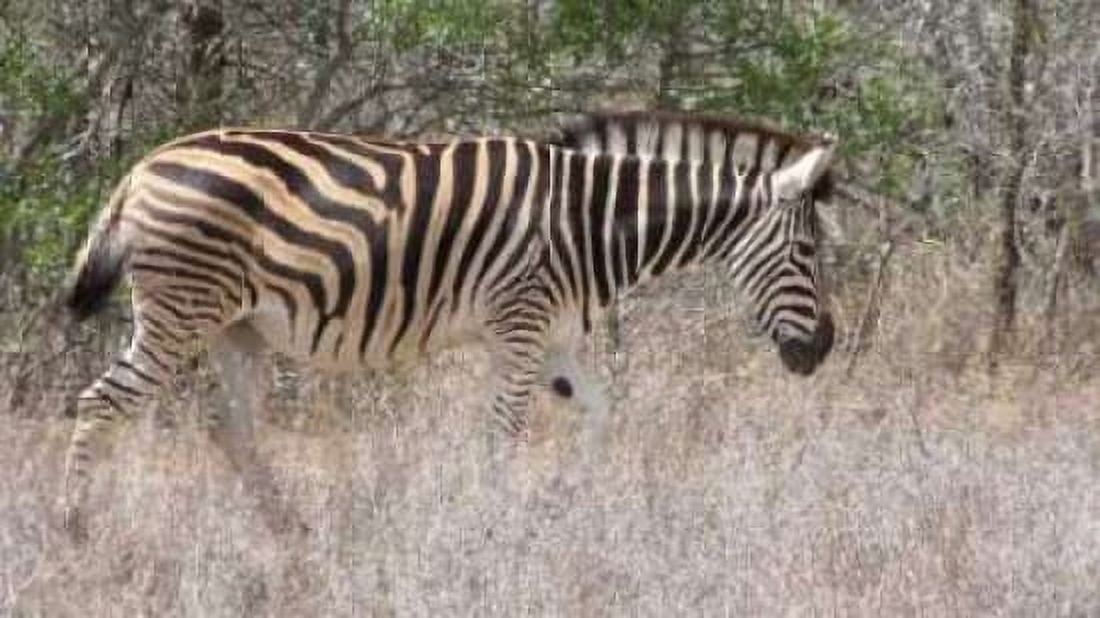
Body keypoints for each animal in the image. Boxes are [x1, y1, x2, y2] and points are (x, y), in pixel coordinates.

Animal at [60, 111, 837, 540]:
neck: (590, 224)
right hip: (181, 312)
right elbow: (504, 434)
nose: (823, 350)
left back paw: (291, 531)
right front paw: (491, 526)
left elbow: (601, 414)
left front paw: (560, 506)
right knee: (102, 402)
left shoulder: (553, 337)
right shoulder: (520, 327)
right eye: (809, 253)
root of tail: (140, 168)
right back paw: (76, 527)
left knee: (234, 430)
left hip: (235, 329)